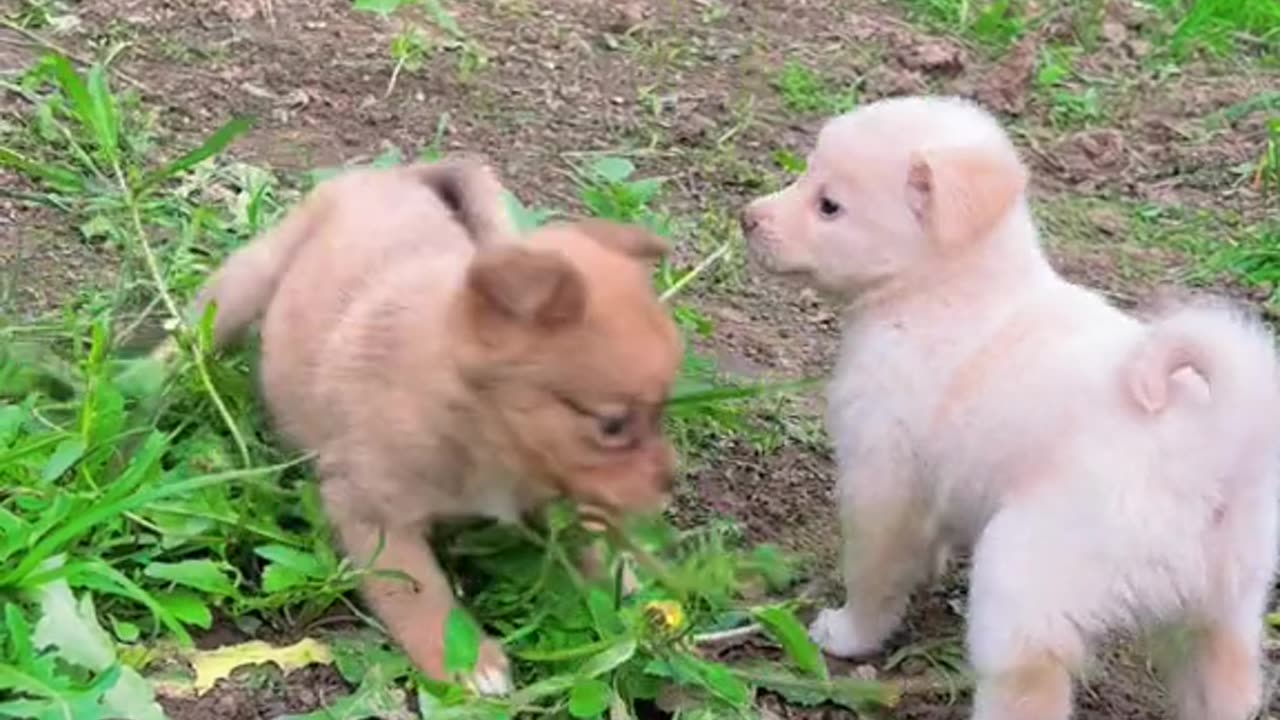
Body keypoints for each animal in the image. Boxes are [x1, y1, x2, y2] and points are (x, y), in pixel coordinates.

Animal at [190, 158, 686, 691]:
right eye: (612, 426)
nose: (669, 485)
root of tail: (398, 174)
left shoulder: (555, 492)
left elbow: (588, 537)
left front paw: (629, 590)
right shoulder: (373, 514)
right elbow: (420, 591)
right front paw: (466, 663)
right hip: (247, 281)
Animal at [742, 96, 1280, 717]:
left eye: (829, 205)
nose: (747, 217)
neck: (943, 289)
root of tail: (1217, 440)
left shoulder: (882, 476)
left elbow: (874, 572)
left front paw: (848, 633)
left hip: (1023, 576)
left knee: (1029, 685)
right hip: (1226, 608)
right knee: (1225, 680)